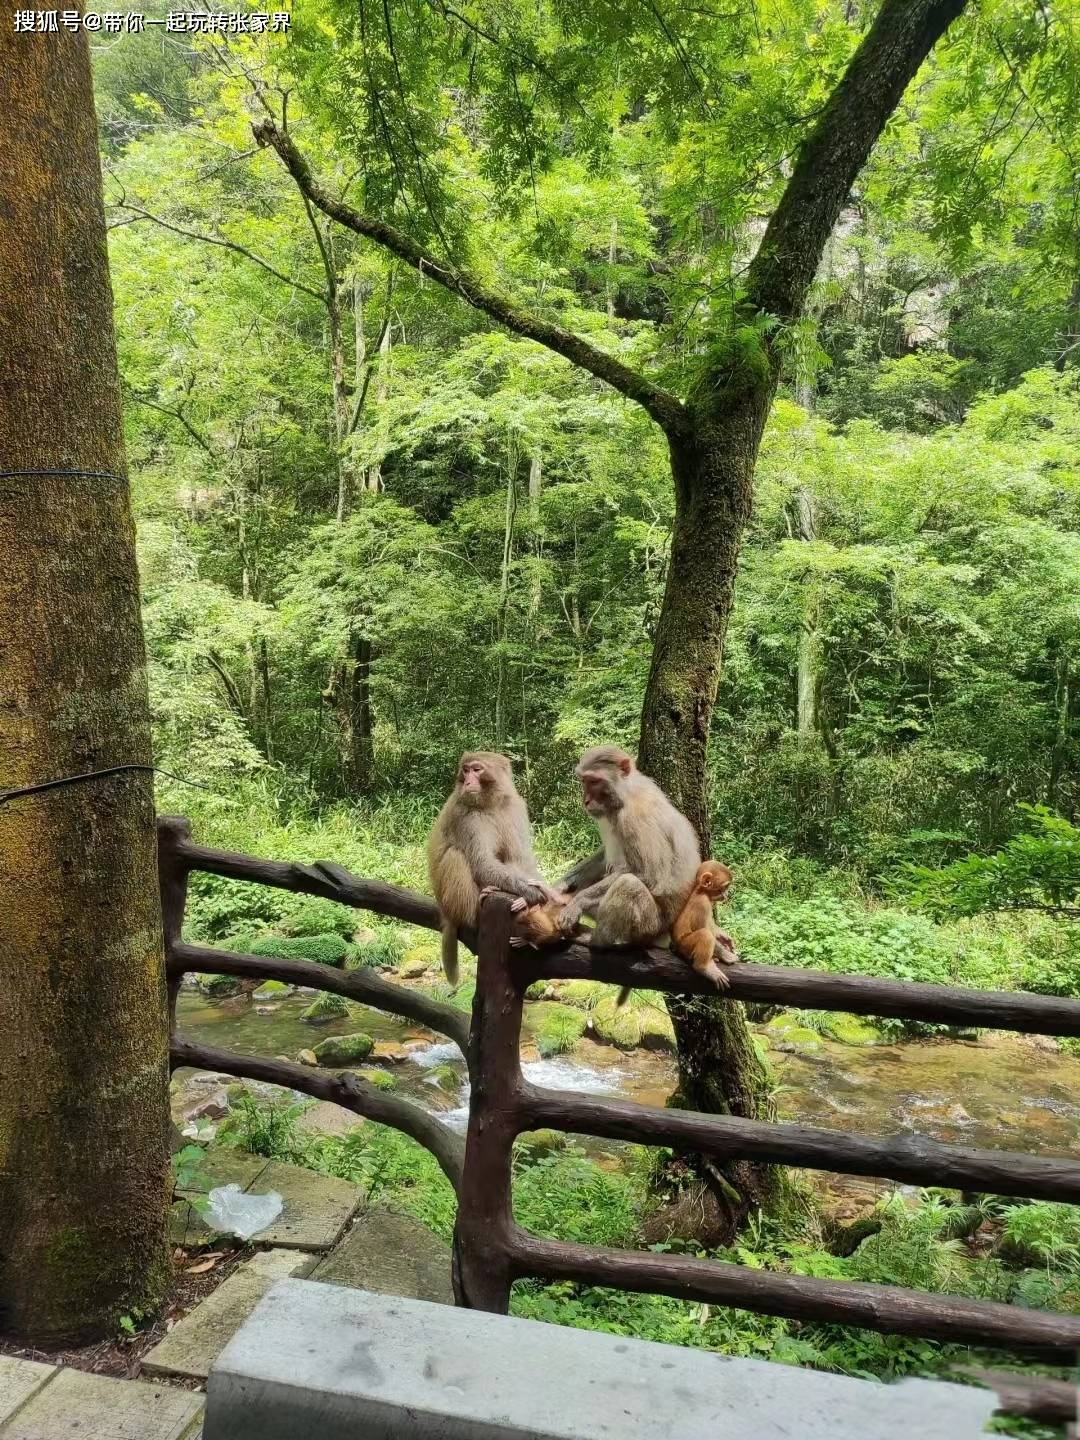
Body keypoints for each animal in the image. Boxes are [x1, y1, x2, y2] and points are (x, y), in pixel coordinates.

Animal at [429, 748, 550, 984]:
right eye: (465, 770)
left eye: (477, 770)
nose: (467, 781)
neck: (490, 803)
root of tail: (444, 912)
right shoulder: (466, 814)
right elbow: (482, 862)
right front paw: (531, 893)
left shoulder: (514, 807)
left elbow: (519, 860)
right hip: (450, 900)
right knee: (455, 855)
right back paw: (478, 905)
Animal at [558, 743, 702, 1002]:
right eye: (584, 781)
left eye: (594, 781)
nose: (586, 799)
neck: (624, 795)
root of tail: (663, 937)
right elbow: (605, 857)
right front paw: (560, 887)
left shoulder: (636, 818)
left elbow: (649, 874)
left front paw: (576, 902)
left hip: (648, 925)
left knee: (629, 884)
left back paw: (598, 941)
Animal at [673, 852, 743, 990]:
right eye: (724, 887)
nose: (726, 895)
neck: (701, 891)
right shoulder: (703, 904)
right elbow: (704, 928)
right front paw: (726, 955)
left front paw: (724, 938)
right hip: (685, 946)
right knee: (705, 935)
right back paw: (704, 967)